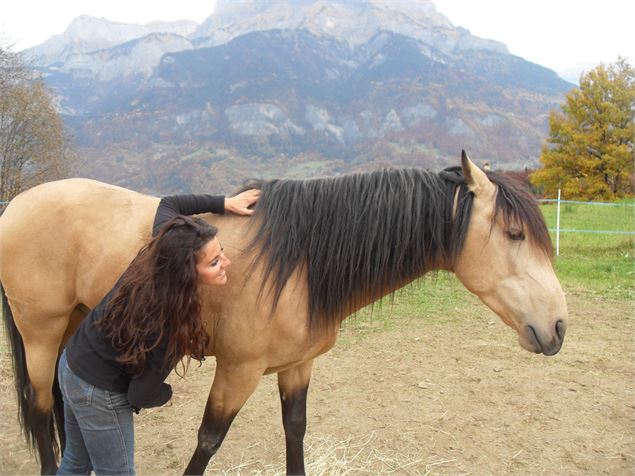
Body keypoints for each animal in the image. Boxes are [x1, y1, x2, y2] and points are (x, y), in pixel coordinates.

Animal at [0, 153, 568, 476]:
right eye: (514, 234)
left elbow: (295, 431)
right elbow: (208, 441)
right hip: (40, 333)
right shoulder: (238, 370)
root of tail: (17, 205)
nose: (558, 327)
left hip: (76, 322)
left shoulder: (297, 366)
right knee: (44, 408)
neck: (303, 261)